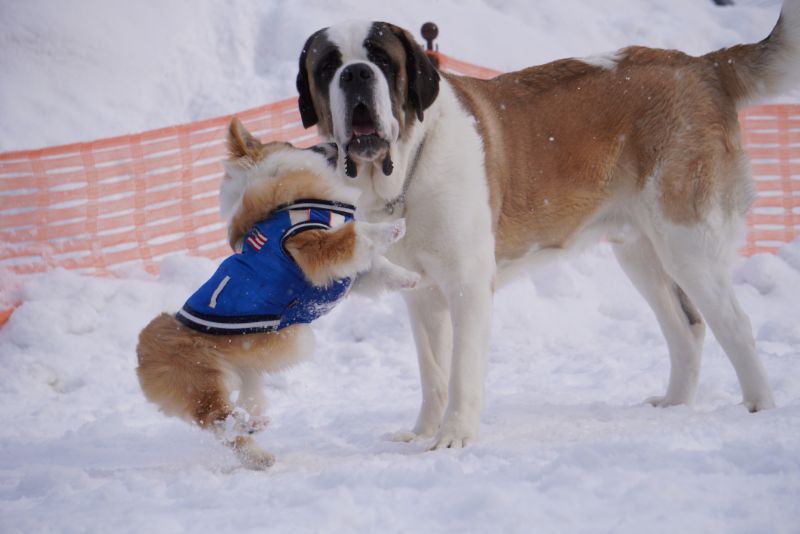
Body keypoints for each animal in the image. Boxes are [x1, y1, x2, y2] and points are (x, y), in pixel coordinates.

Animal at [296, 2, 800, 450]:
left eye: (381, 60)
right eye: (328, 66)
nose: (356, 74)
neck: (404, 168)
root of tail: (703, 65)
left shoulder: (468, 282)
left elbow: (461, 370)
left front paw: (454, 437)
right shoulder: (422, 294)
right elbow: (433, 372)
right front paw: (420, 434)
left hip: (687, 240)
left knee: (735, 323)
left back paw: (758, 408)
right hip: (640, 252)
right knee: (686, 327)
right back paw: (674, 405)